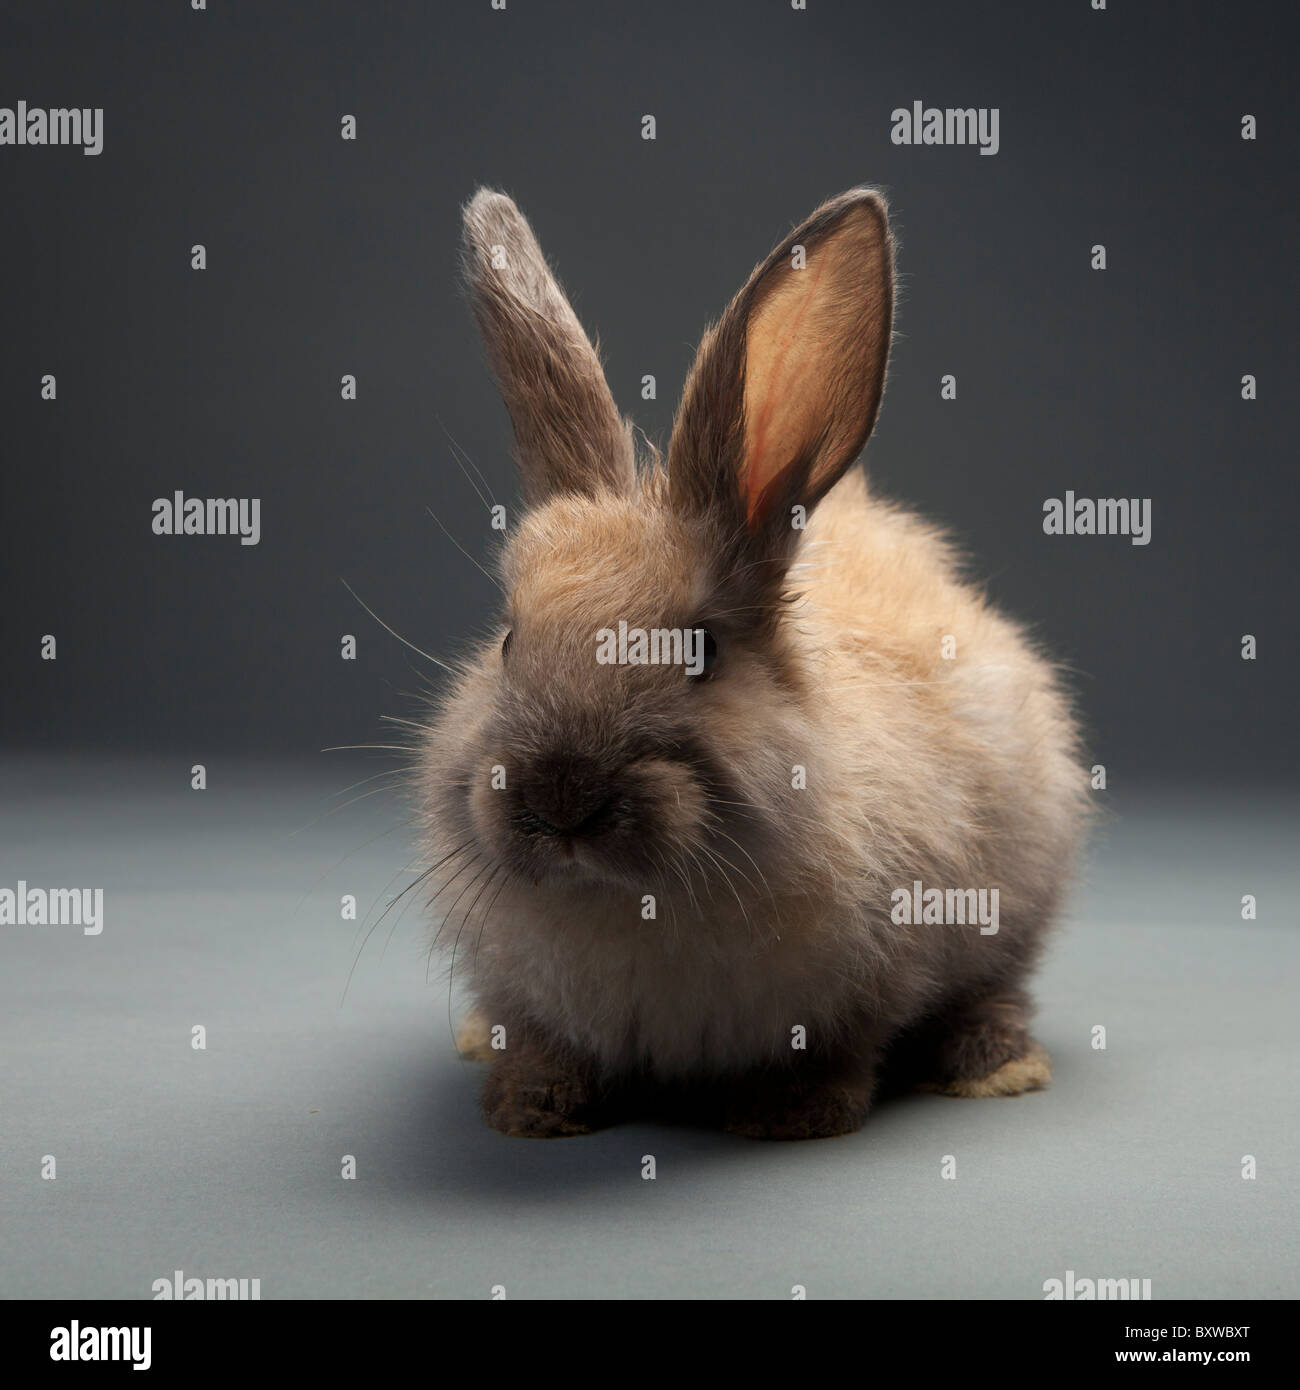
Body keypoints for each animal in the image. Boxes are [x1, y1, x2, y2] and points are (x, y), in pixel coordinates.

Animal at [417, 185, 1089, 1140]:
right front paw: (530, 1108)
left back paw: (995, 1068)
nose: (562, 798)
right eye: (509, 640)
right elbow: (543, 1039)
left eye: (700, 649)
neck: (626, 903)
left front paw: (788, 1114)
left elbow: (842, 1042)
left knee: (996, 990)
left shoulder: (886, 963)